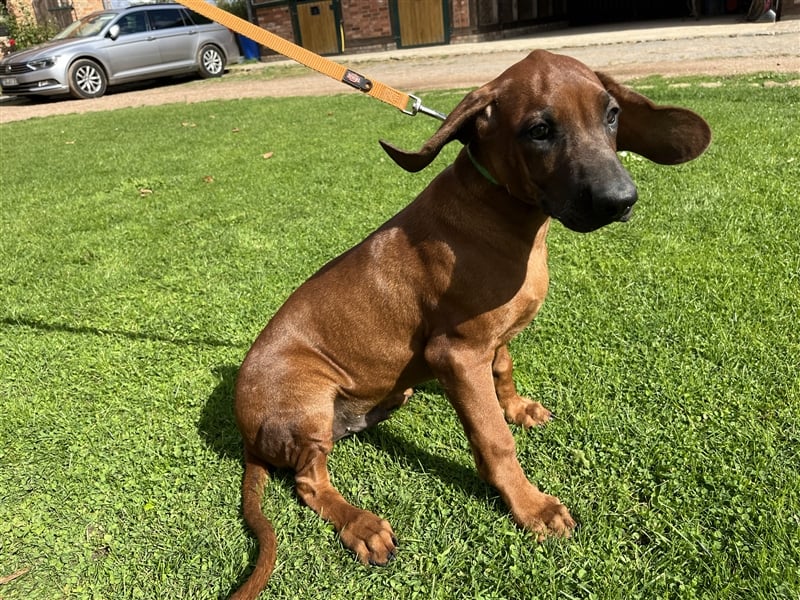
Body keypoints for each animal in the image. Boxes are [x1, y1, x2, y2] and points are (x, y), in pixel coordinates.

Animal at [228, 49, 708, 596]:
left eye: (612, 115)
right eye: (539, 130)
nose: (621, 200)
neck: (507, 217)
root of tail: (246, 434)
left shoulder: (490, 341)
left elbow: (504, 372)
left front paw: (518, 409)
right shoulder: (454, 354)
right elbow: (494, 440)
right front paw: (531, 506)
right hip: (307, 399)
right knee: (309, 482)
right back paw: (362, 524)